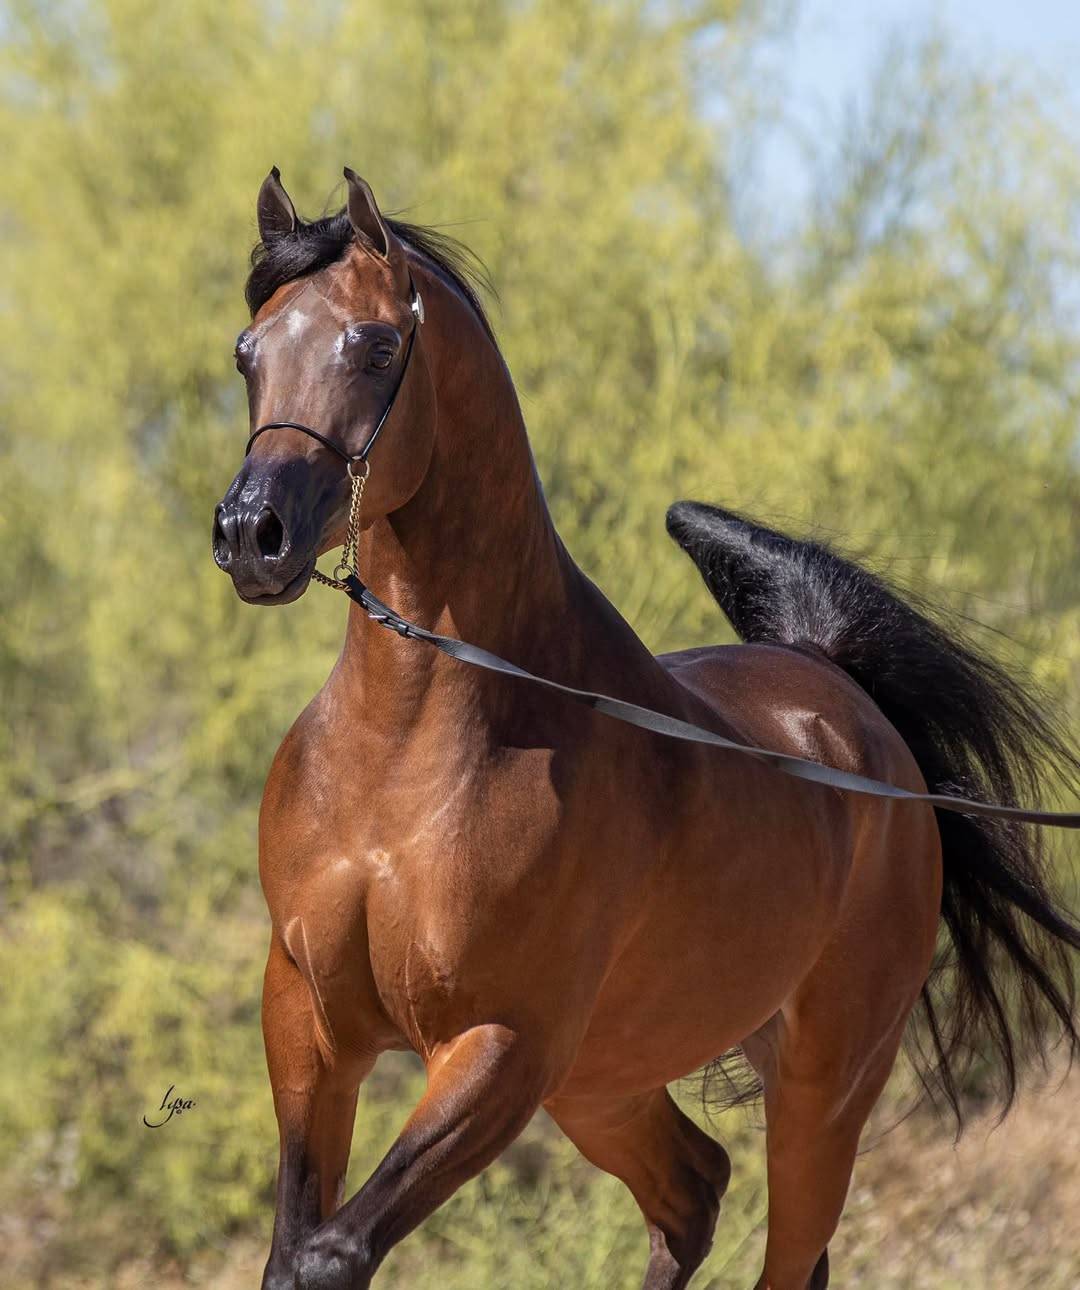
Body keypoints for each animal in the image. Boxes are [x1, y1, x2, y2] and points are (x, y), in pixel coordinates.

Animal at [212, 167, 1080, 1290]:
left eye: (373, 346)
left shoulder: (501, 1043)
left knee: (782, 1247)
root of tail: (842, 697)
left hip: (819, 1092)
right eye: (248, 351)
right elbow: (292, 1253)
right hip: (605, 1078)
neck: (405, 757)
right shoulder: (309, 1020)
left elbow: (329, 1254)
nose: (251, 535)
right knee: (694, 1192)